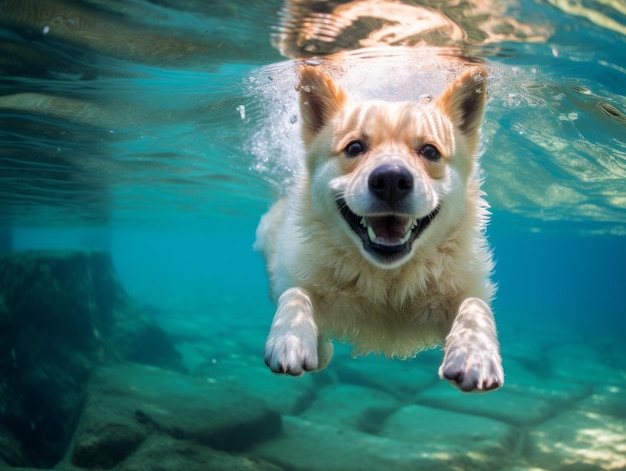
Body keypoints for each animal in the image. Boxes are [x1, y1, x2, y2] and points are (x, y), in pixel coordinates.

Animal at [254, 63, 502, 394]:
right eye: (355, 147)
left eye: (430, 152)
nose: (391, 180)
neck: (387, 279)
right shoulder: (297, 273)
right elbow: (296, 292)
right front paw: (292, 339)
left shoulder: (465, 288)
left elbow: (475, 305)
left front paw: (475, 354)